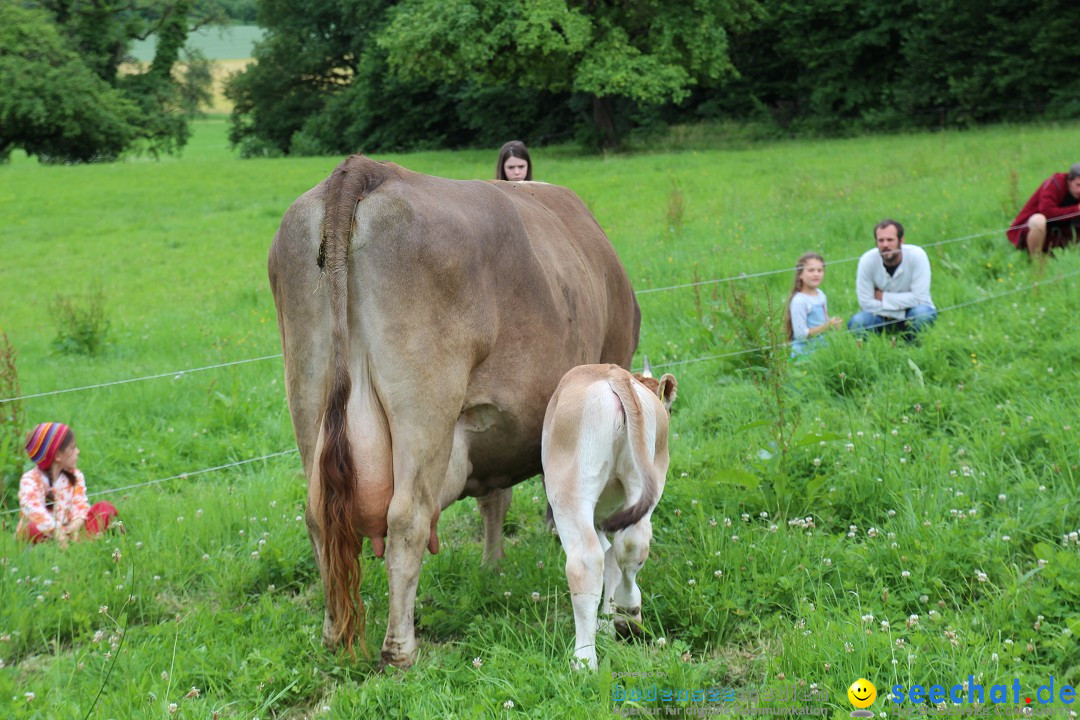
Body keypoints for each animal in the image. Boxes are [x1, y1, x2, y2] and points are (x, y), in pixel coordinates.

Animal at [270, 153, 639, 669]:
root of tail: (364, 169)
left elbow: (494, 499)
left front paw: (491, 567)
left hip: (307, 394)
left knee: (318, 517)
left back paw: (332, 637)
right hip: (424, 409)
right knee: (407, 518)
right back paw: (400, 651)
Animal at [540, 362, 673, 673]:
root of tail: (613, 373)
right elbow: (614, 558)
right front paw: (608, 622)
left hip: (571, 491)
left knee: (586, 562)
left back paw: (584, 660)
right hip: (643, 479)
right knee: (633, 545)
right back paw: (628, 613)